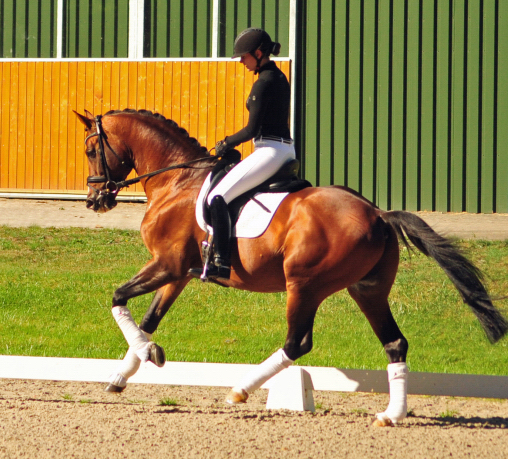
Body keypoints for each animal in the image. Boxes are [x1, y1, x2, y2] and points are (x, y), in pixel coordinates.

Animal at [75, 108, 508, 428]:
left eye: (92, 148)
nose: (95, 199)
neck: (177, 180)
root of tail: (378, 214)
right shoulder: (178, 273)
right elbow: (149, 318)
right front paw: (124, 372)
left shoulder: (166, 265)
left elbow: (118, 298)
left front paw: (147, 355)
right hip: (367, 289)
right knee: (395, 343)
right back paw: (391, 415)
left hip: (304, 284)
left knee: (297, 342)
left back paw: (240, 390)